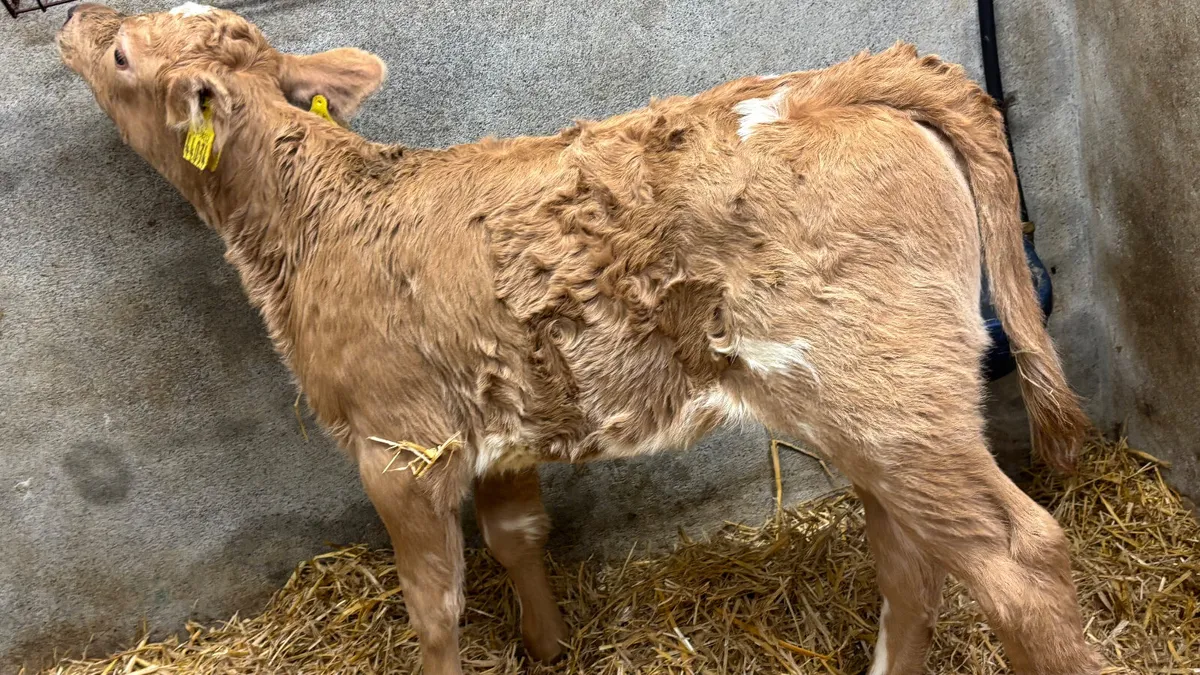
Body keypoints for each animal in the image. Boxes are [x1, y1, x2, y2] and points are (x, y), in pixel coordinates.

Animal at [57, 3, 1102, 674]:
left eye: (122, 55)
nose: (69, 12)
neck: (321, 211)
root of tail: (834, 83)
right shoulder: (501, 419)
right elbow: (517, 537)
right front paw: (549, 647)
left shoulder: (399, 444)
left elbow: (433, 604)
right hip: (867, 404)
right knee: (910, 556)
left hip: (883, 390)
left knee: (1020, 559)